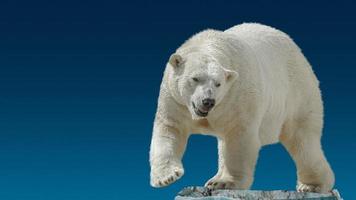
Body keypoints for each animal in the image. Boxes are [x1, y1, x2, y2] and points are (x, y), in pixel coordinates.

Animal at [149, 22, 336, 193]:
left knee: (303, 141)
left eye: (218, 83)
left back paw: (313, 185)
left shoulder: (237, 96)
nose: (208, 101)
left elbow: (239, 136)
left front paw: (226, 183)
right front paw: (167, 177)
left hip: (297, 94)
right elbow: (170, 130)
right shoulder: (175, 99)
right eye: (195, 78)